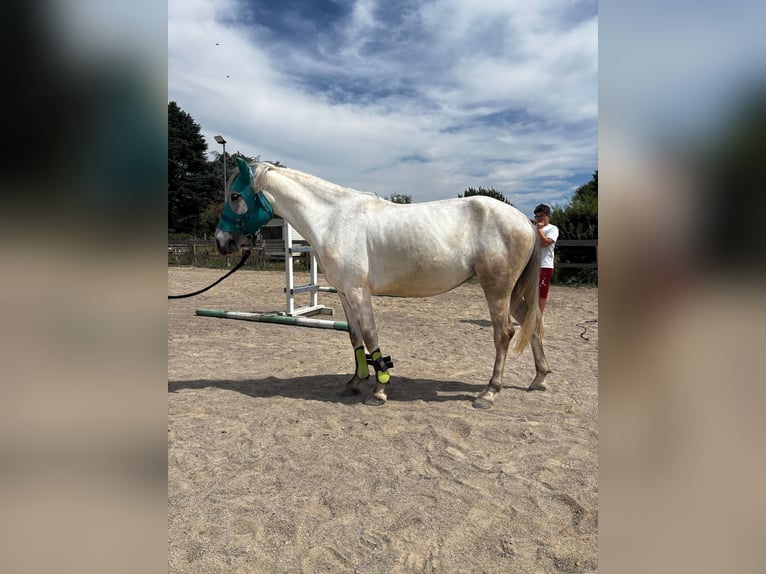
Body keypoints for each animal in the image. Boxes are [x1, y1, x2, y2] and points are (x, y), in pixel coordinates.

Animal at [215, 157, 551, 409]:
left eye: (235, 196)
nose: (221, 241)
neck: (333, 219)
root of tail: (523, 221)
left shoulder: (358, 292)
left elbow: (370, 336)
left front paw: (379, 389)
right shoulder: (344, 293)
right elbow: (354, 338)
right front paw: (355, 382)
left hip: (497, 289)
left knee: (504, 333)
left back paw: (490, 392)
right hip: (512, 292)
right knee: (532, 324)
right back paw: (539, 378)